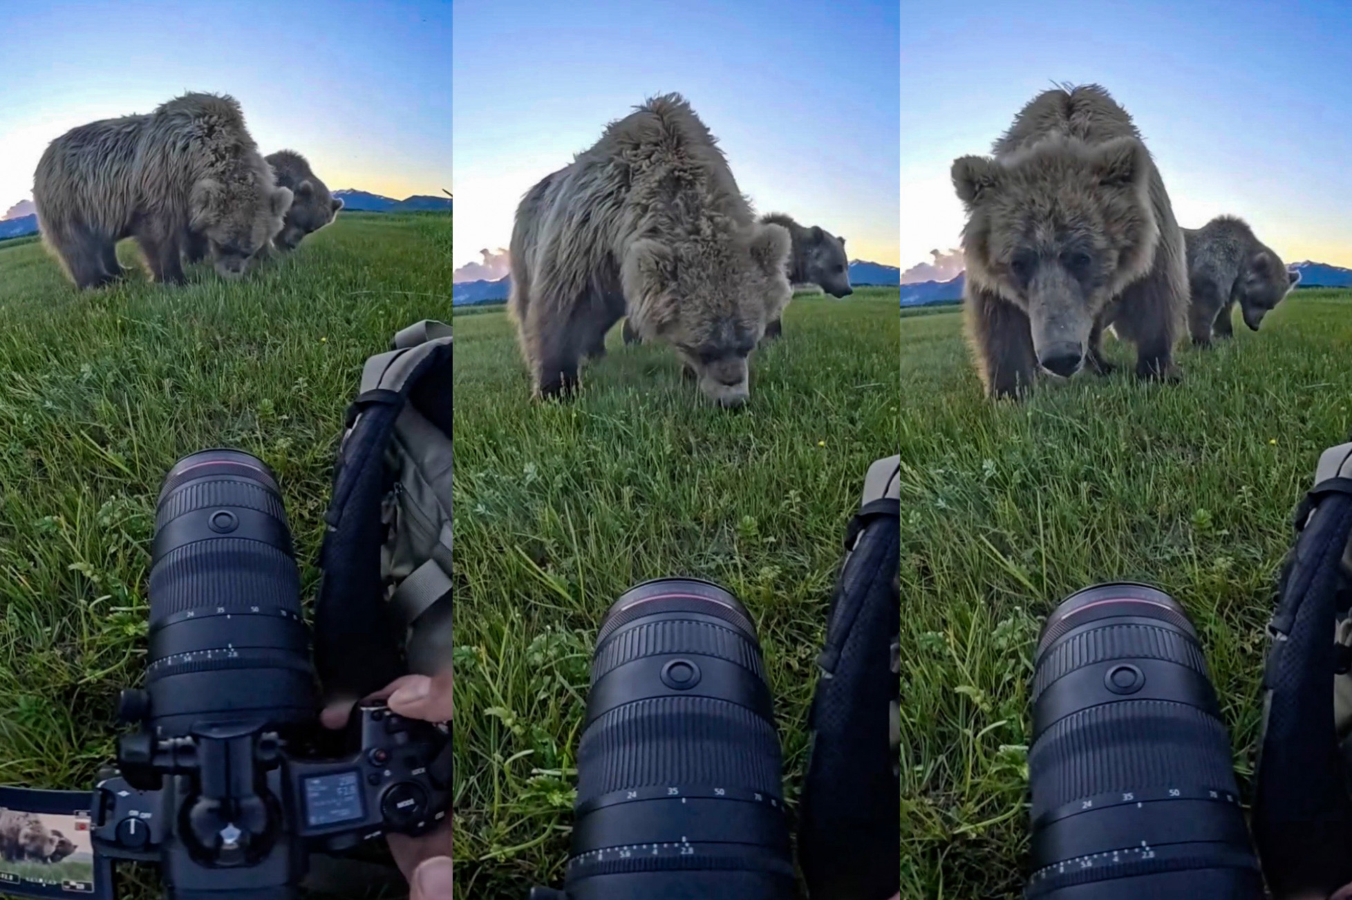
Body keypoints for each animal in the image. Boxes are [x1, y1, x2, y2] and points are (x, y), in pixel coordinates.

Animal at [33, 92, 293, 289]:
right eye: (223, 244)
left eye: (248, 250)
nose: (233, 273)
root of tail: (46, 151)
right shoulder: (161, 177)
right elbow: (159, 233)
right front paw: (174, 278)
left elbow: (192, 230)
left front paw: (197, 257)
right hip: (68, 198)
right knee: (76, 244)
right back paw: (97, 280)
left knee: (103, 240)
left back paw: (119, 269)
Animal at [508, 93, 791, 407]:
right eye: (703, 348)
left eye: (747, 344)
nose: (733, 401)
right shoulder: (588, 237)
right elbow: (562, 308)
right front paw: (556, 388)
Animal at [951, 84, 1188, 399]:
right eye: (1018, 262)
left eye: (1082, 257)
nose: (1060, 358)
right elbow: (997, 319)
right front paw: (1008, 390)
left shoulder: (1155, 236)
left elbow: (1157, 297)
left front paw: (1156, 370)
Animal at [1184, 215, 1299, 346]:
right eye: (1259, 301)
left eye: (1270, 306)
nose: (1255, 326)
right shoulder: (1214, 263)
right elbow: (1203, 301)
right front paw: (1204, 342)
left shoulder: (1230, 288)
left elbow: (1224, 311)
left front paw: (1227, 336)